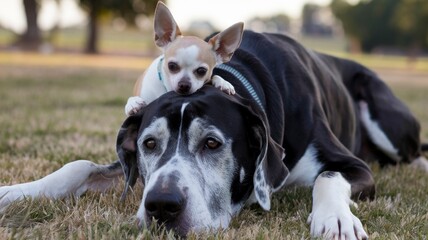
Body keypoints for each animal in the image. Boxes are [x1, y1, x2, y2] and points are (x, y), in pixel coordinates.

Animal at [0, 30, 428, 238]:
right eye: (148, 144)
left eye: (212, 143)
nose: (161, 206)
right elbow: (80, 165)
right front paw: (14, 191)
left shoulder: (353, 166)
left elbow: (329, 175)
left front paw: (335, 219)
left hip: (382, 115)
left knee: (410, 152)